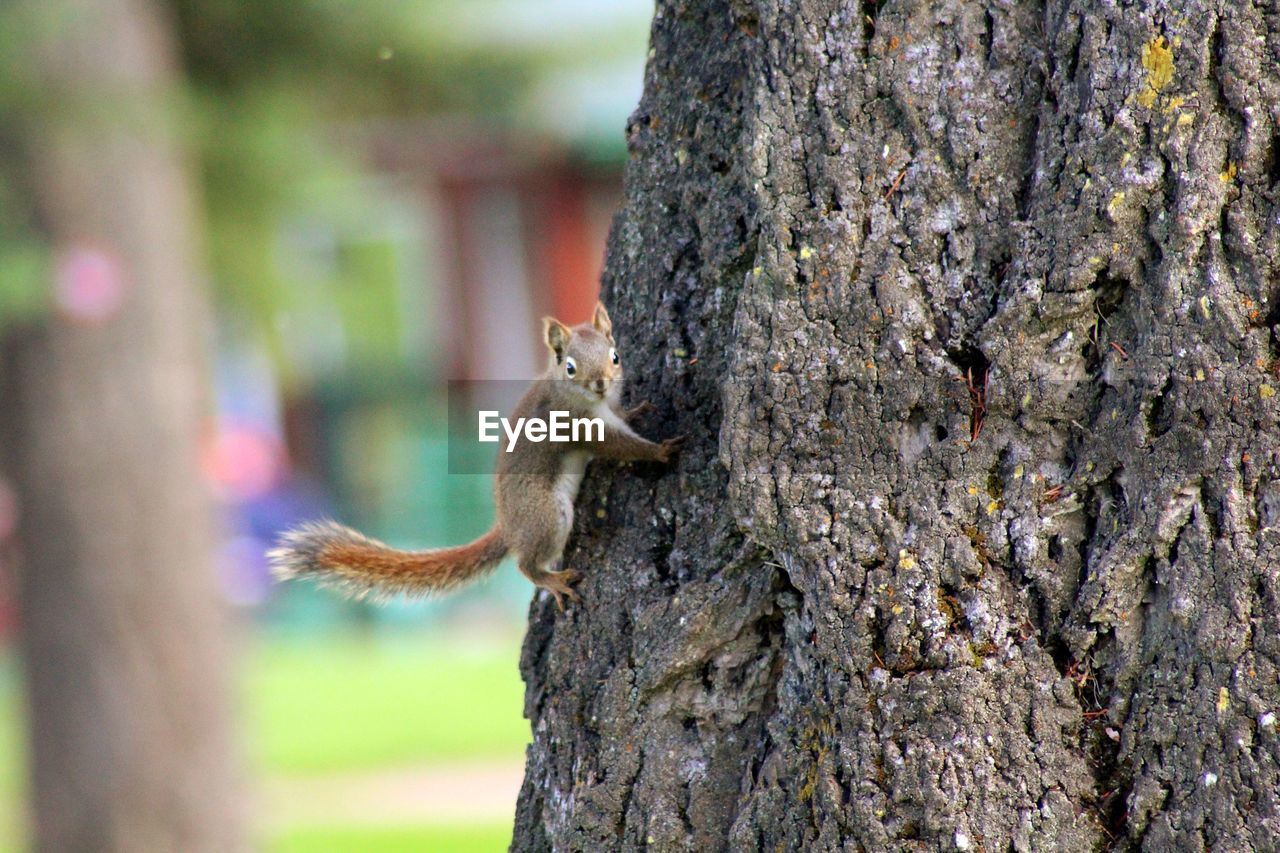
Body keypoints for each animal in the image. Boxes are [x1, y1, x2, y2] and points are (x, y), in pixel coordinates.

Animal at [267, 302, 680, 607]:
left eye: (615, 355)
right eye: (570, 367)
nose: (601, 384)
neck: (590, 401)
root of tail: (508, 527)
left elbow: (622, 418)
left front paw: (636, 411)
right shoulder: (579, 424)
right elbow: (617, 445)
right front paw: (661, 451)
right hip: (547, 514)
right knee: (526, 565)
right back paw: (553, 581)